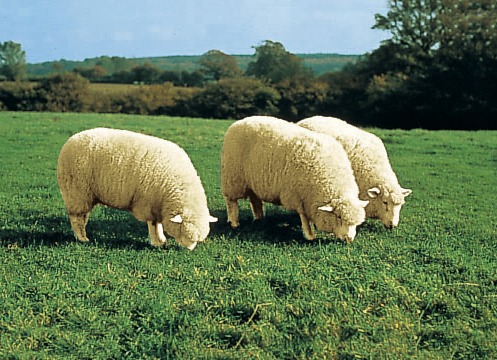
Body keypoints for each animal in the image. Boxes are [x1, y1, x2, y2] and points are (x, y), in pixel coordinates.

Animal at [57, 127, 216, 250]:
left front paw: (161, 239)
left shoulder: (157, 203)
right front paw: (156, 242)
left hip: (86, 195)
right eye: (184, 230)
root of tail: (72, 139)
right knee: (76, 218)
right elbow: (153, 224)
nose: (189, 250)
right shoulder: (148, 203)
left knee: (82, 216)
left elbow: (158, 223)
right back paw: (81, 238)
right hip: (76, 191)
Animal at [221, 116, 368, 243]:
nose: (350, 239)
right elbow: (304, 217)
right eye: (339, 217)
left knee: (255, 200)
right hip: (233, 177)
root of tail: (240, 121)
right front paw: (309, 235)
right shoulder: (298, 196)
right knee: (231, 202)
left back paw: (259, 218)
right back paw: (234, 222)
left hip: (252, 181)